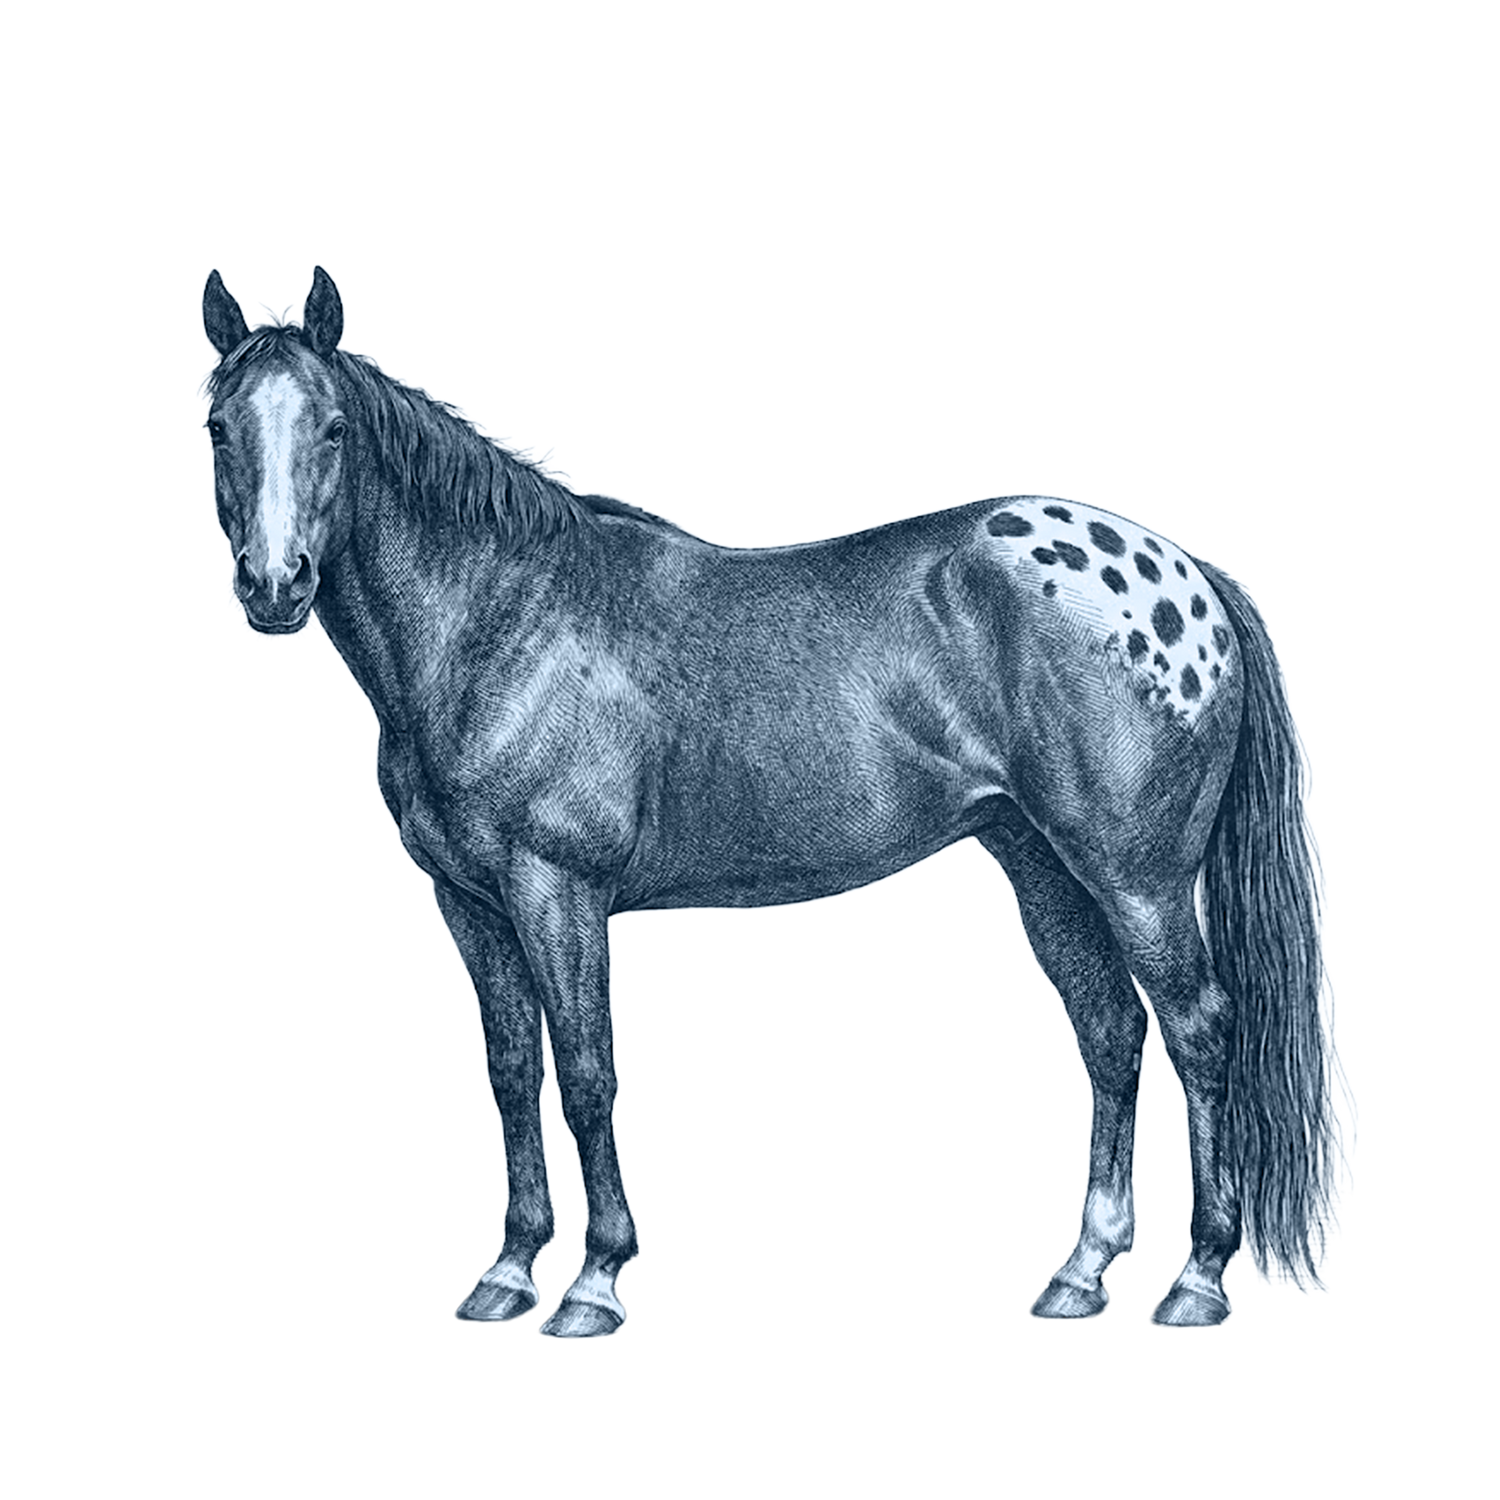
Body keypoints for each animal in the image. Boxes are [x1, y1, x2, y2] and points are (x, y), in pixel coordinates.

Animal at [195, 261, 1359, 1340]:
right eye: (215, 426)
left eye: (335, 428)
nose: (273, 588)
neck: (501, 620)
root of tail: (1184, 569)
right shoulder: (468, 903)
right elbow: (512, 1072)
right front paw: (507, 1274)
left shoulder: (557, 893)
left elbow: (587, 1073)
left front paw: (594, 1285)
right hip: (1041, 864)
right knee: (1112, 1034)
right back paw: (1080, 1275)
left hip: (1139, 879)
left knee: (1200, 1033)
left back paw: (1197, 1283)